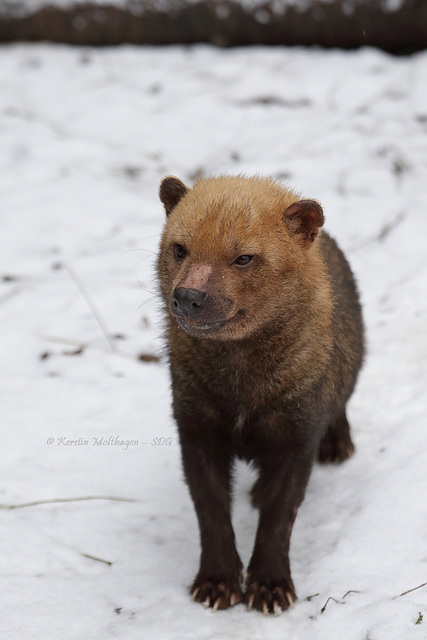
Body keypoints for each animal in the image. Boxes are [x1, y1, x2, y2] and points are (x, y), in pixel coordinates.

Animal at [157, 175, 364, 616]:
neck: (242, 394)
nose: (187, 298)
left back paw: (338, 446)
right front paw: (216, 585)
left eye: (244, 258)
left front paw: (270, 590)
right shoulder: (195, 427)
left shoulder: (297, 433)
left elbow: (279, 515)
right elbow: (211, 509)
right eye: (180, 248)